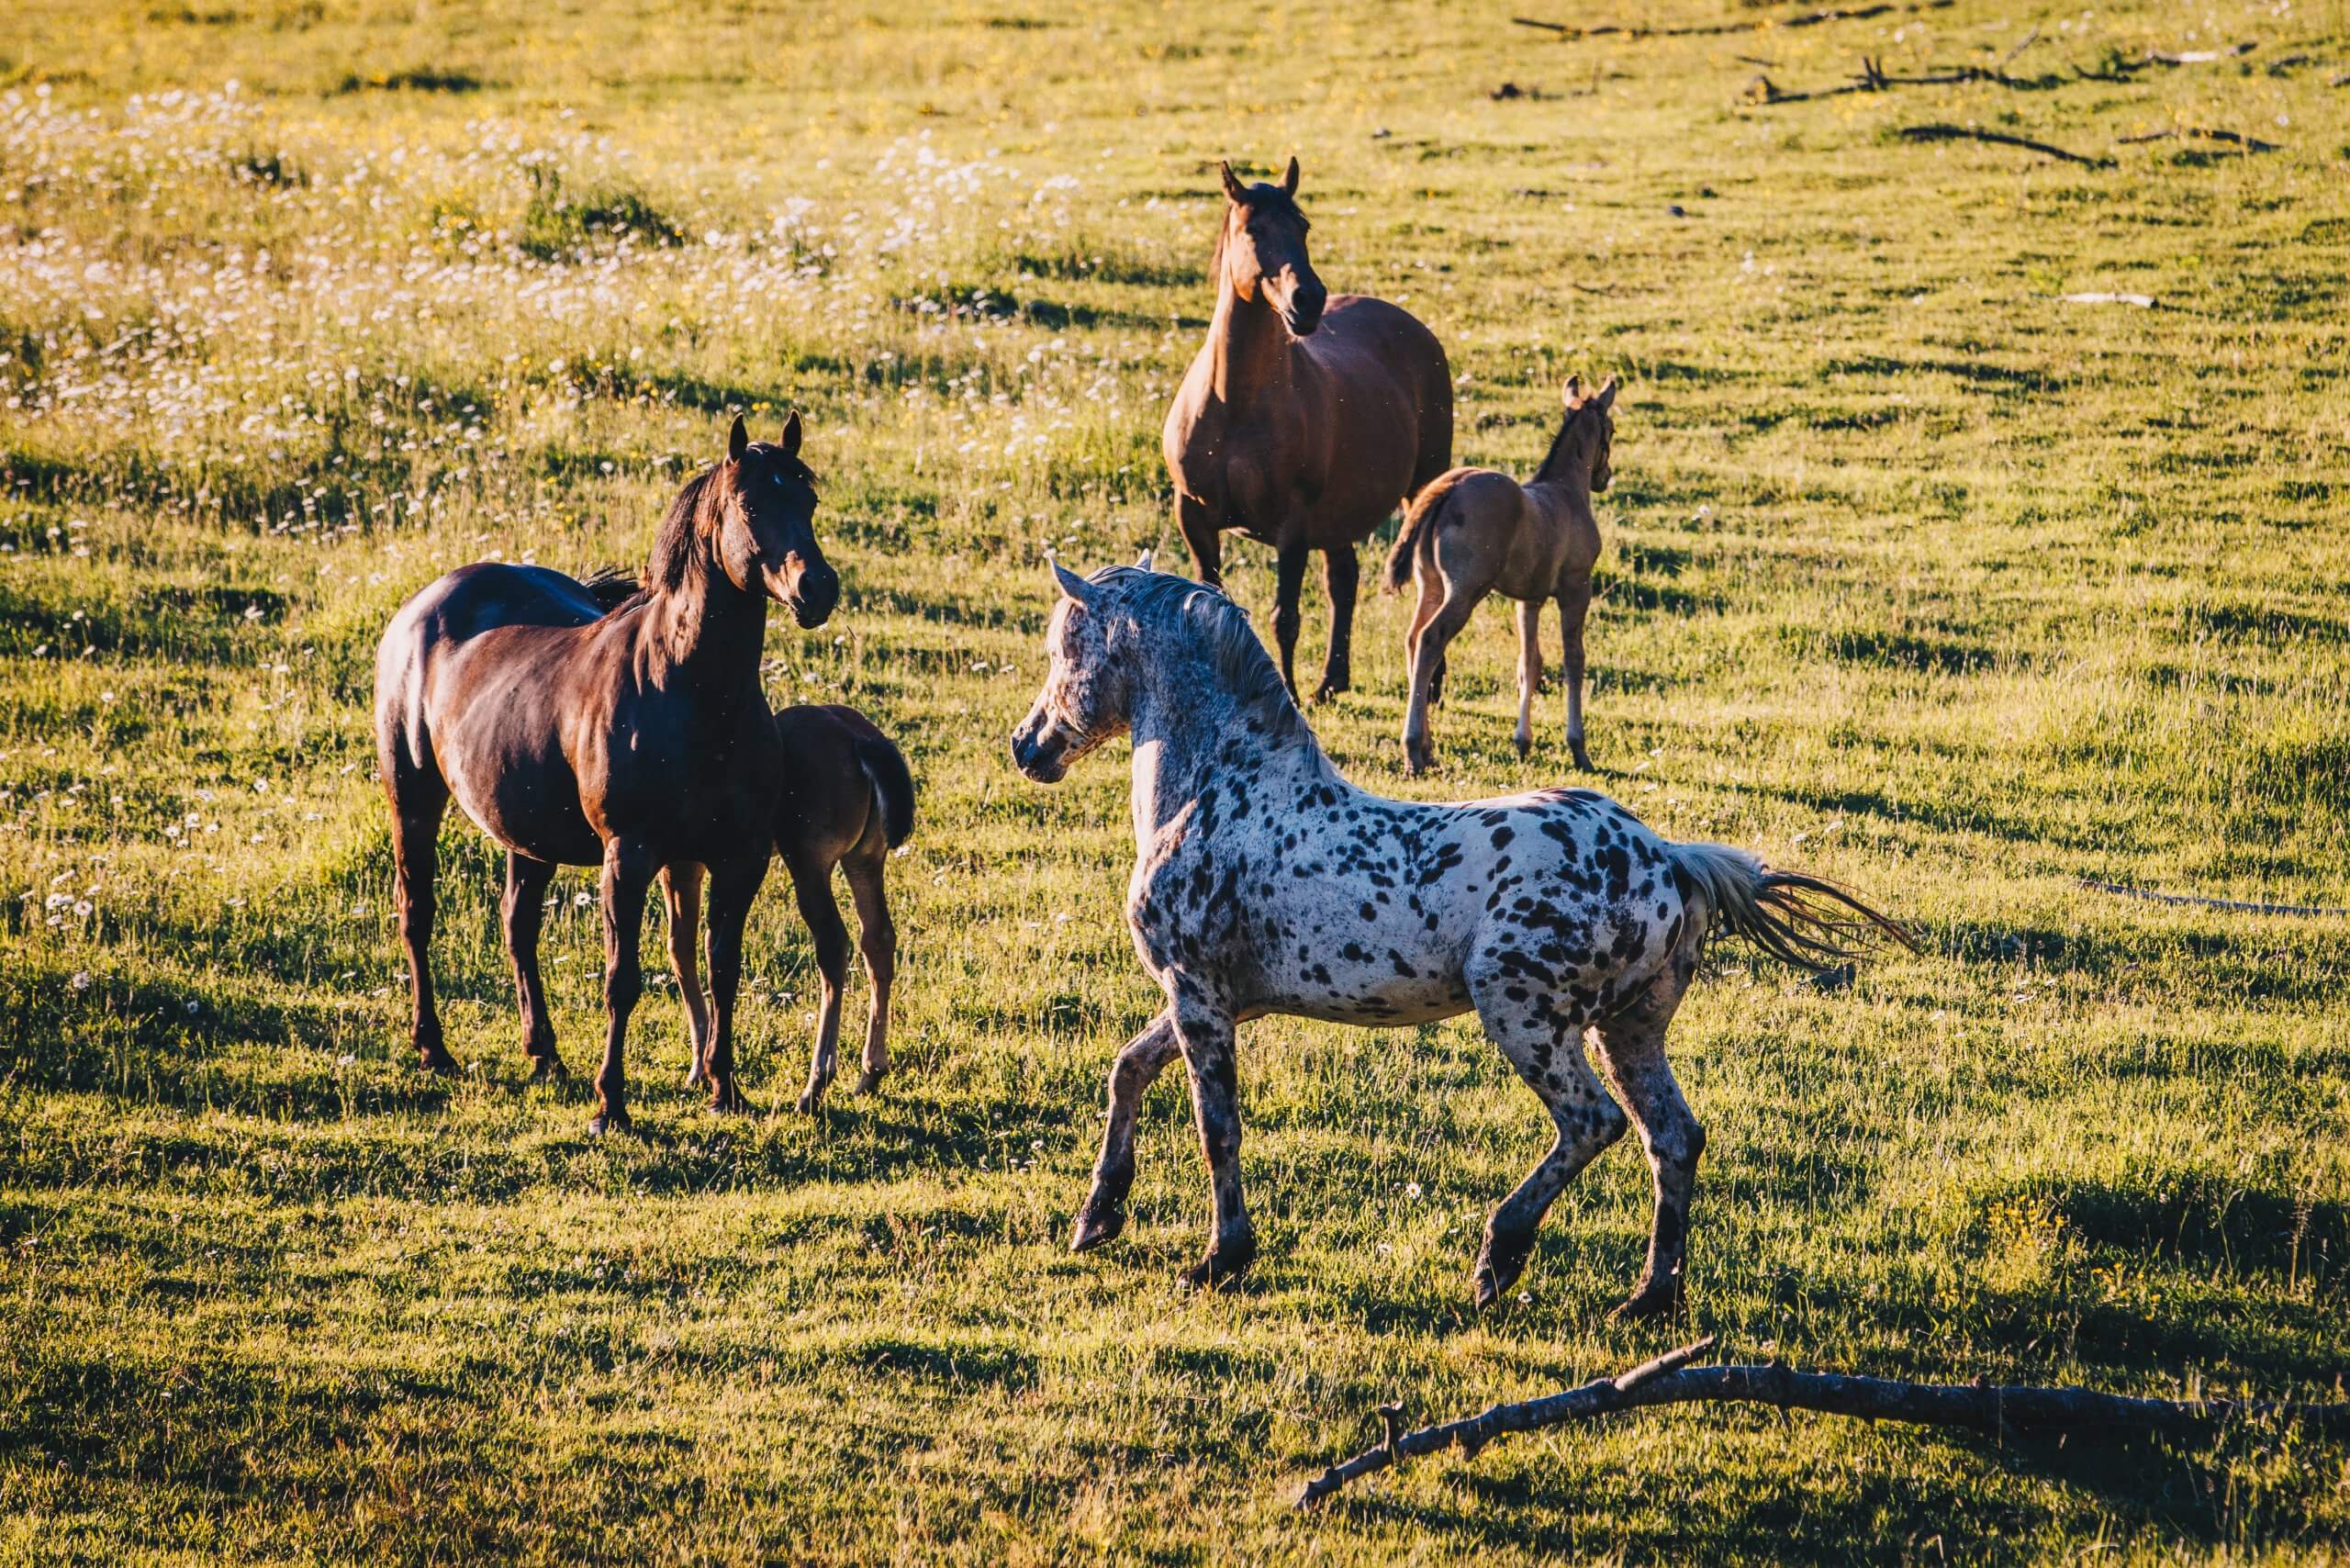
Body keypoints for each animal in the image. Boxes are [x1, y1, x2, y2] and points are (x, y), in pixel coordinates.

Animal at [371, 413, 841, 1128]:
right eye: (750, 505)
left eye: (808, 502)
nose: (818, 589)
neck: (694, 692)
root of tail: (421, 606)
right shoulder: (629, 856)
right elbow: (623, 979)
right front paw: (610, 1104)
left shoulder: (741, 858)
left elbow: (722, 970)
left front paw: (724, 1090)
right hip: (414, 801)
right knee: (416, 913)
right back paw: (435, 1049)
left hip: (525, 833)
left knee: (518, 927)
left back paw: (544, 1055)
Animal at [672, 705, 916, 1124]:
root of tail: (859, 739)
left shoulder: (681, 862)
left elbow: (682, 947)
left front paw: (699, 1069)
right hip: (865, 860)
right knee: (878, 939)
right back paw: (870, 1073)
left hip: (808, 862)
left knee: (833, 945)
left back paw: (815, 1086)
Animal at [1010, 556, 1908, 1316]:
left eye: (1063, 647)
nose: (1027, 746)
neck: (1219, 793)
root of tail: (1670, 859)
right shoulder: (1223, 1002)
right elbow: (1129, 1069)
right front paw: (1097, 1219)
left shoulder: (1198, 995)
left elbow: (1214, 1126)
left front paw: (1219, 1259)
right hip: (1628, 1028)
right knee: (1673, 1138)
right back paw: (1650, 1298)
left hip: (1522, 1013)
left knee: (1594, 1124)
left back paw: (1497, 1259)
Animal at [1160, 156, 1447, 700]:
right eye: (1252, 229)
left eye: (1303, 226)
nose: (1308, 299)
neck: (1235, 405)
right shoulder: (1195, 517)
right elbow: (1211, 604)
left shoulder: (1292, 524)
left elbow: (1284, 618)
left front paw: (1288, 695)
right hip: (1340, 513)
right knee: (1344, 580)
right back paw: (1333, 680)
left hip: (1421, 488)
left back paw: (1431, 685)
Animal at [1372, 375, 1617, 780]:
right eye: (1611, 430)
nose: (1604, 477)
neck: (1566, 491)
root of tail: (1448, 487)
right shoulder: (1576, 587)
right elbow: (1573, 659)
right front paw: (1578, 748)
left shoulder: (1529, 599)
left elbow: (1529, 662)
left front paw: (1523, 742)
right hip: (1466, 590)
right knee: (1430, 638)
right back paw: (1413, 751)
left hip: (1431, 586)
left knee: (1412, 638)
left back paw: (1428, 749)